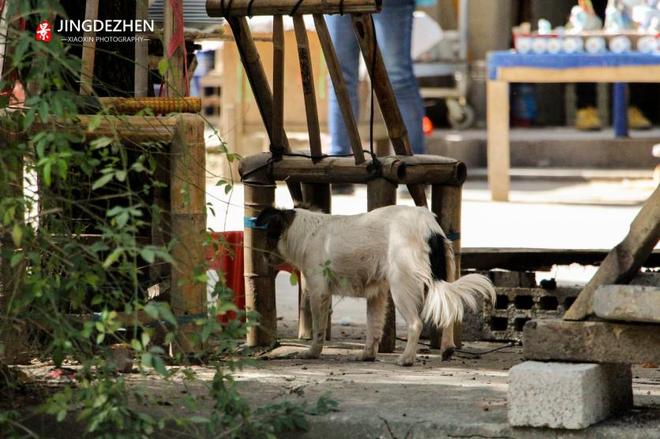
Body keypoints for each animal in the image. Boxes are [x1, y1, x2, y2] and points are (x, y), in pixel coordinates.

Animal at [255, 206, 492, 368]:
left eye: (269, 235)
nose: (263, 258)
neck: (306, 232)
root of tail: (429, 227)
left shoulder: (318, 293)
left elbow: (319, 330)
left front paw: (312, 353)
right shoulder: (377, 295)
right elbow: (373, 328)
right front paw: (367, 355)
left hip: (401, 286)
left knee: (416, 323)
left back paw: (407, 358)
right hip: (442, 275)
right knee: (449, 312)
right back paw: (447, 349)